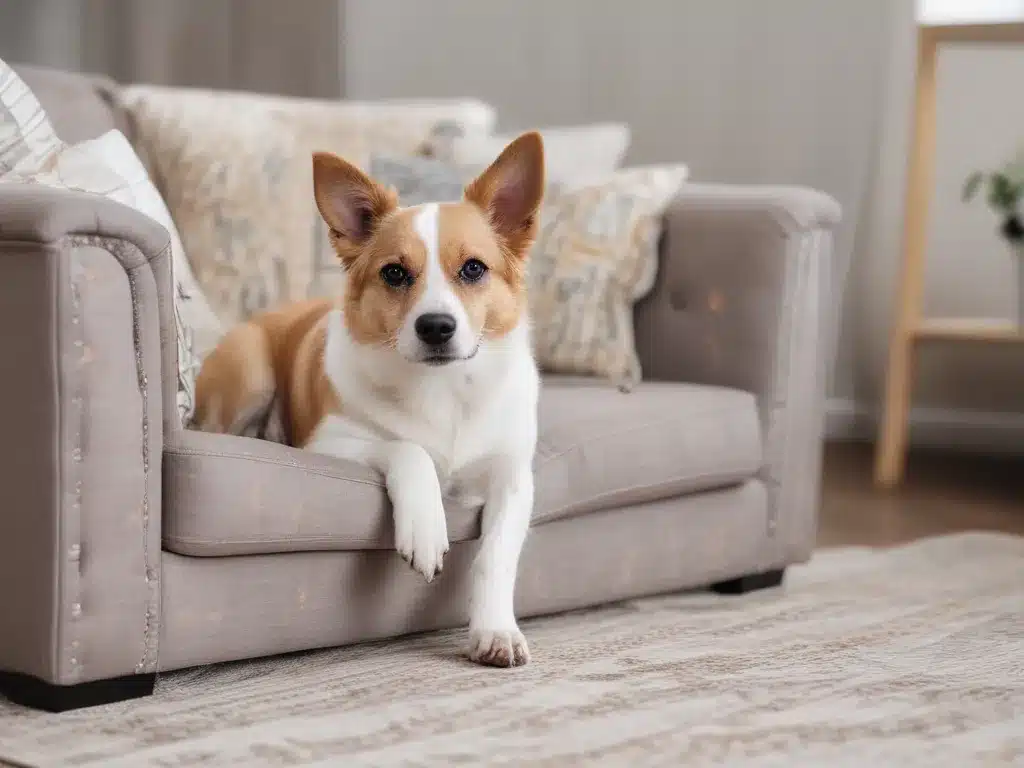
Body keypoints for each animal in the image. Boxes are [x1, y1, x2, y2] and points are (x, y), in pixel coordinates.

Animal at [191, 132, 544, 667]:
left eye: (473, 269)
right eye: (395, 273)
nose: (436, 327)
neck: (441, 391)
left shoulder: (512, 476)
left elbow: (496, 555)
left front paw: (495, 630)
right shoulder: (326, 445)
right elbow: (410, 449)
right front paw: (426, 526)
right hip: (249, 371)